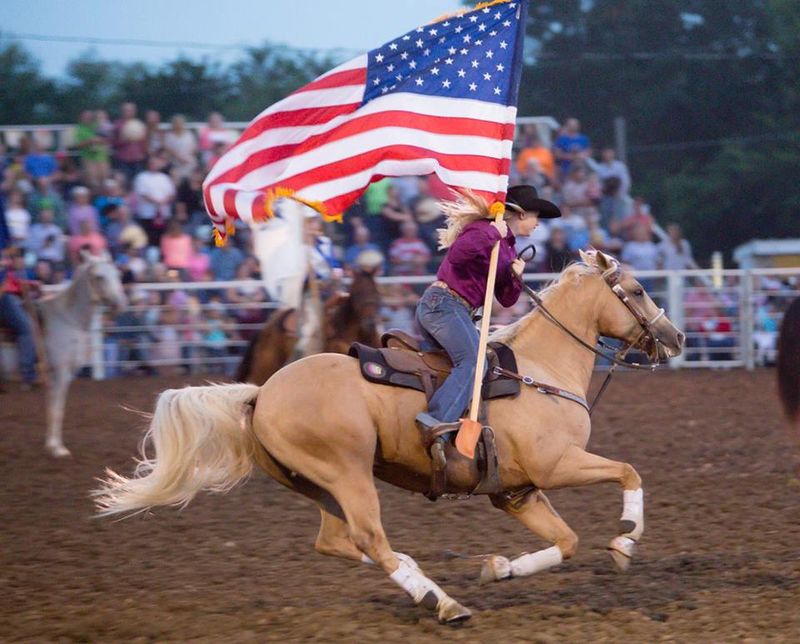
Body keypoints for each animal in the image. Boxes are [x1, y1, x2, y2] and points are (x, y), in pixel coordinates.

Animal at [40, 252, 126, 458]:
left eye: (118, 274)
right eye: (99, 277)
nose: (120, 304)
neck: (67, 319)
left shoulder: (54, 374)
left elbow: (51, 407)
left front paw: (50, 445)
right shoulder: (61, 371)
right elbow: (58, 409)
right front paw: (58, 448)